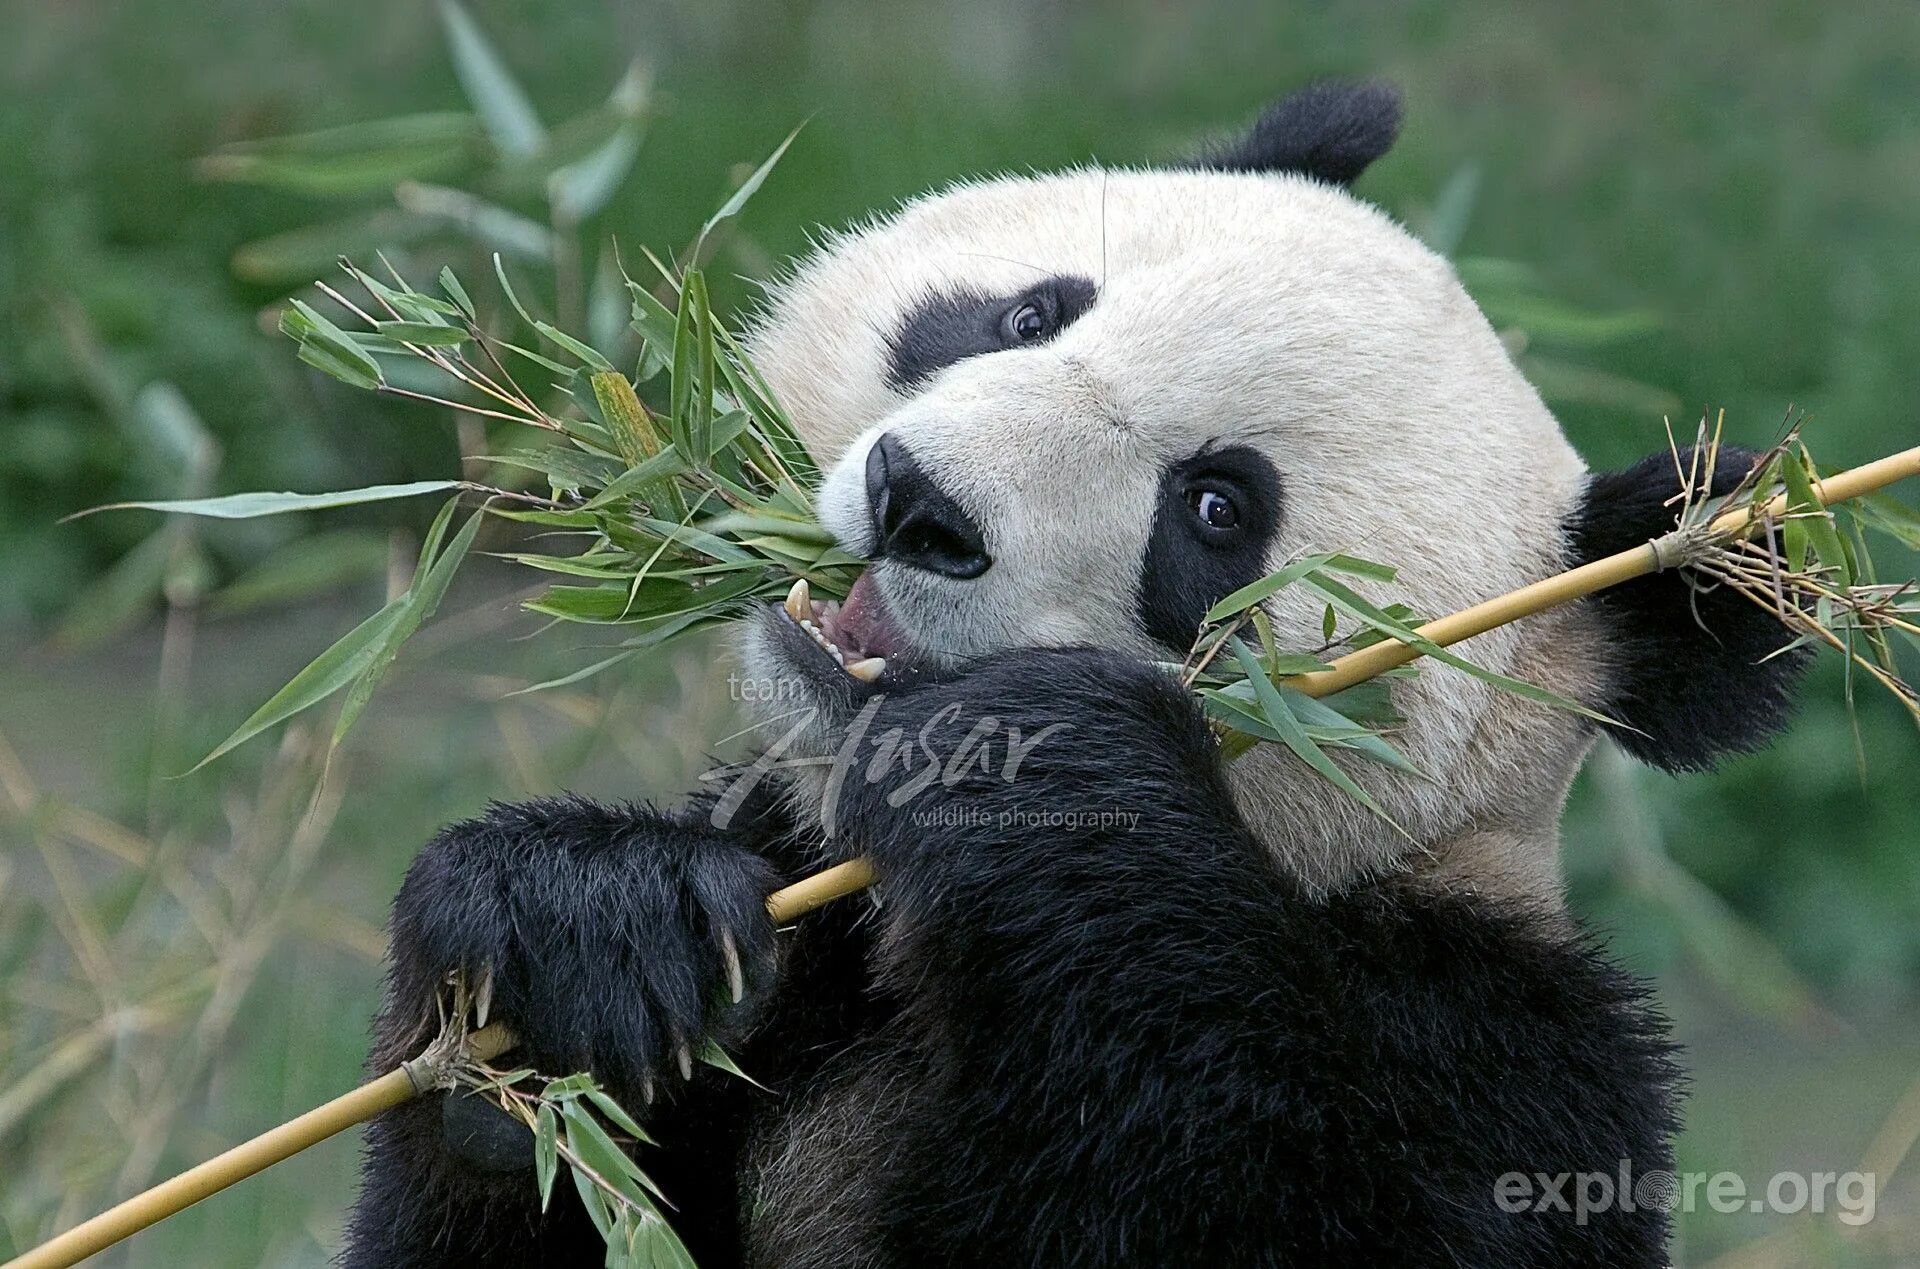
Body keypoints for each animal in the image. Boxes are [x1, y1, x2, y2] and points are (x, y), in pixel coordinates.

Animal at [341, 83, 1797, 1259]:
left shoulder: (1499, 1061)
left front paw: (1031, 763)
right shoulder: (807, 940)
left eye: (1215, 512)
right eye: (1028, 312)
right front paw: (580, 943)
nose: (918, 501)